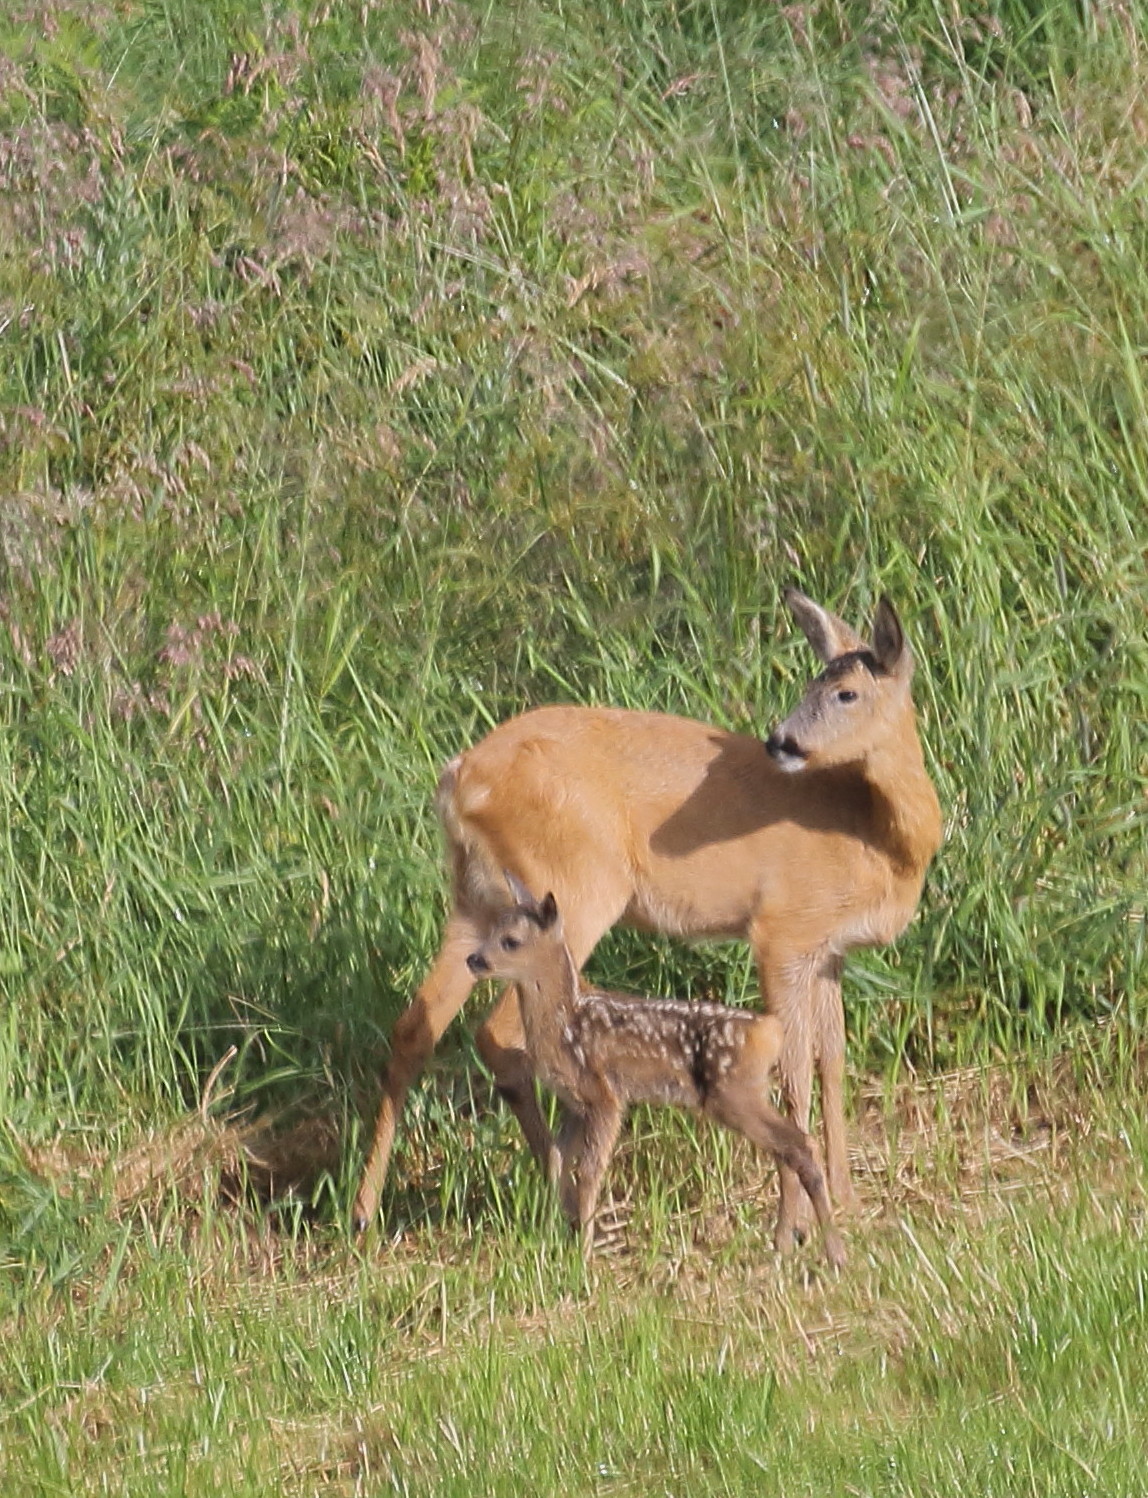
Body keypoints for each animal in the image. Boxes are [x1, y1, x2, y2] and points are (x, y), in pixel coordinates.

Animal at [466, 874, 848, 1268]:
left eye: (511, 940)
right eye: (492, 928)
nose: (474, 959)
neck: (563, 1024)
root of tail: (768, 1032)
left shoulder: (606, 1096)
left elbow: (589, 1172)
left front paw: (583, 1256)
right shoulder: (575, 1102)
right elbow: (557, 1158)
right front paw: (552, 1235)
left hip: (734, 1095)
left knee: (800, 1144)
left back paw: (832, 1252)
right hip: (743, 1095)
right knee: (793, 1147)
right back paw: (797, 1244)